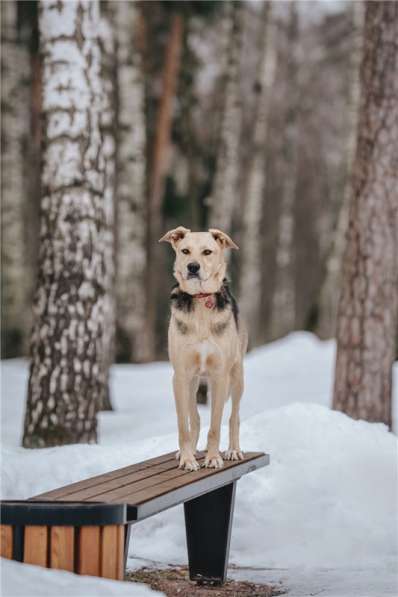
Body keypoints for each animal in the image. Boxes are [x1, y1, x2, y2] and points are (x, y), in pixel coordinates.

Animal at [159, 227, 247, 470]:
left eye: (207, 252)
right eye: (185, 251)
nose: (193, 267)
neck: (200, 301)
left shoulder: (220, 375)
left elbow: (216, 425)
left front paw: (214, 457)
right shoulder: (181, 376)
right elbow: (184, 425)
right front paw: (188, 458)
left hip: (237, 376)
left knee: (234, 416)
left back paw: (233, 450)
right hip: (192, 382)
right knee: (195, 418)